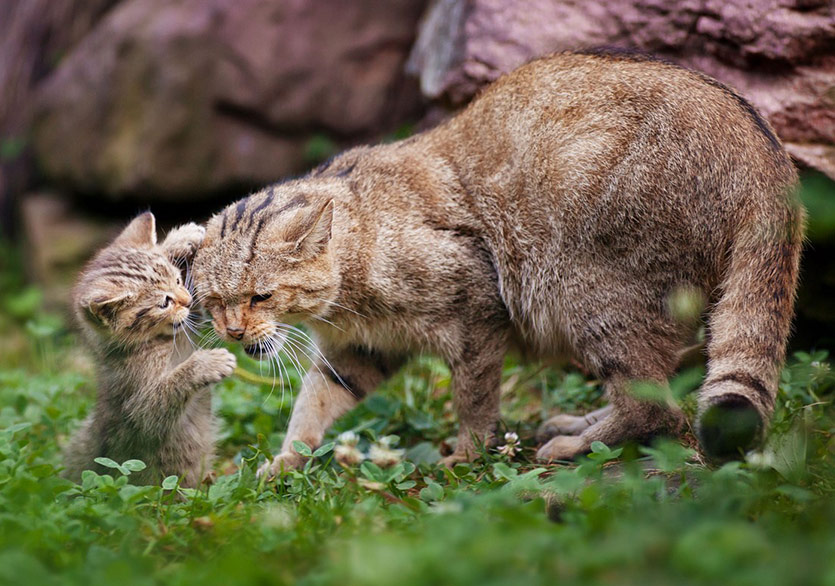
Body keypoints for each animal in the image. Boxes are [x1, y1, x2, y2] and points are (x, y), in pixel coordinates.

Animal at [62, 212, 235, 486]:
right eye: (164, 302)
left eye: (178, 280)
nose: (186, 300)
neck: (155, 342)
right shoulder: (138, 408)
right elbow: (163, 397)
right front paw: (207, 364)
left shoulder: (189, 323)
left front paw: (179, 239)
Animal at [194, 49, 804, 470]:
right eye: (215, 301)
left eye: (261, 295)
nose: (233, 332)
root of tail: (767, 155)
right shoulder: (360, 351)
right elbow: (315, 404)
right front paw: (286, 460)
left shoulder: (476, 313)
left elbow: (474, 398)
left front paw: (466, 454)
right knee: (662, 389)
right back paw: (577, 423)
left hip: (589, 292)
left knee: (656, 406)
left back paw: (574, 443)